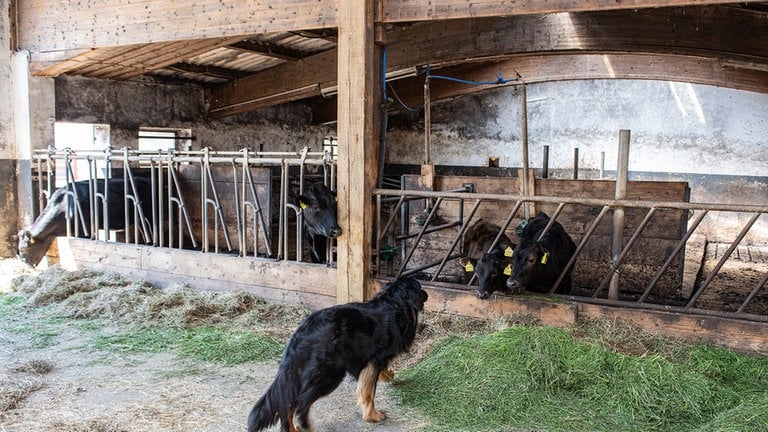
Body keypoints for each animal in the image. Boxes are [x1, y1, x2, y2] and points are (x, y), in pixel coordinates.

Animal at [246, 276, 428, 432]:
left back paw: (293, 428)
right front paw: (372, 415)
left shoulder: (370, 360)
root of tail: (303, 331)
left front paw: (388, 376)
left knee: (288, 403)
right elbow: (369, 390)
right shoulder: (376, 358)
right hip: (330, 372)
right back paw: (305, 425)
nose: (427, 294)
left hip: (300, 374)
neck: (395, 302)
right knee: (301, 403)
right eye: (419, 287)